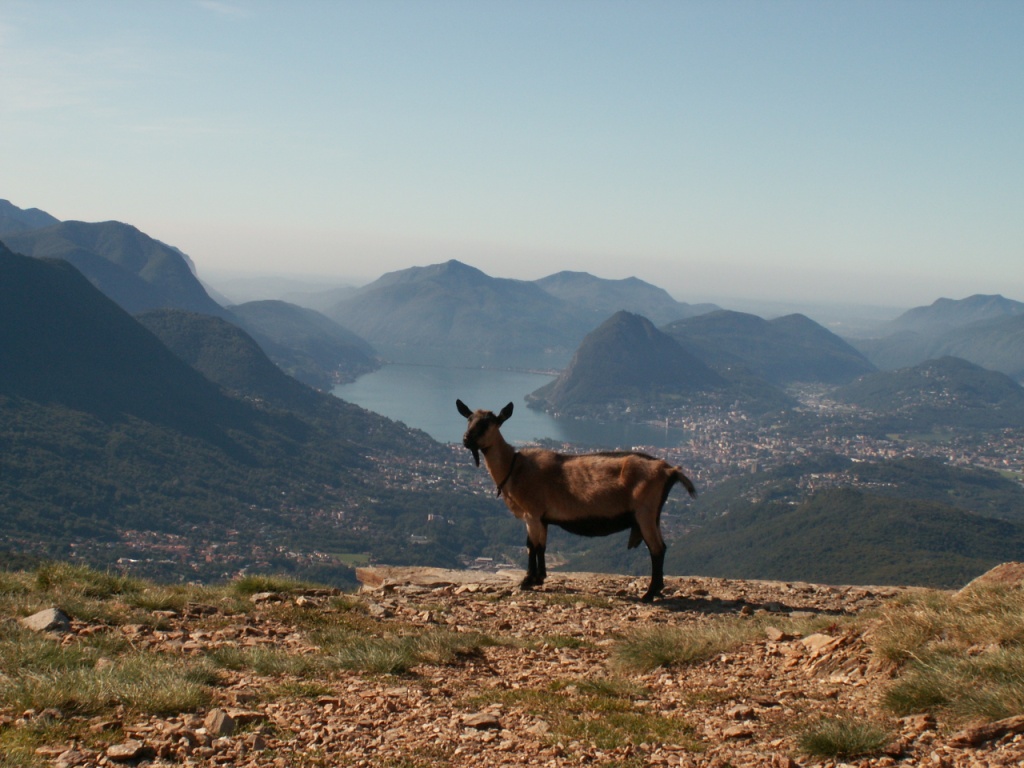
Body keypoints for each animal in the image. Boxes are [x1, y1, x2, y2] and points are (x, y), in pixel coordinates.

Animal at [456, 399, 696, 602]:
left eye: (489, 422)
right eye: (469, 419)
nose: (466, 439)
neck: (514, 468)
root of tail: (669, 470)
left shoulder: (532, 514)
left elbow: (532, 546)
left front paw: (528, 580)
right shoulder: (541, 518)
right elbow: (540, 546)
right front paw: (539, 578)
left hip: (644, 513)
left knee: (657, 549)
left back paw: (649, 593)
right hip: (653, 516)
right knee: (661, 547)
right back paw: (657, 589)